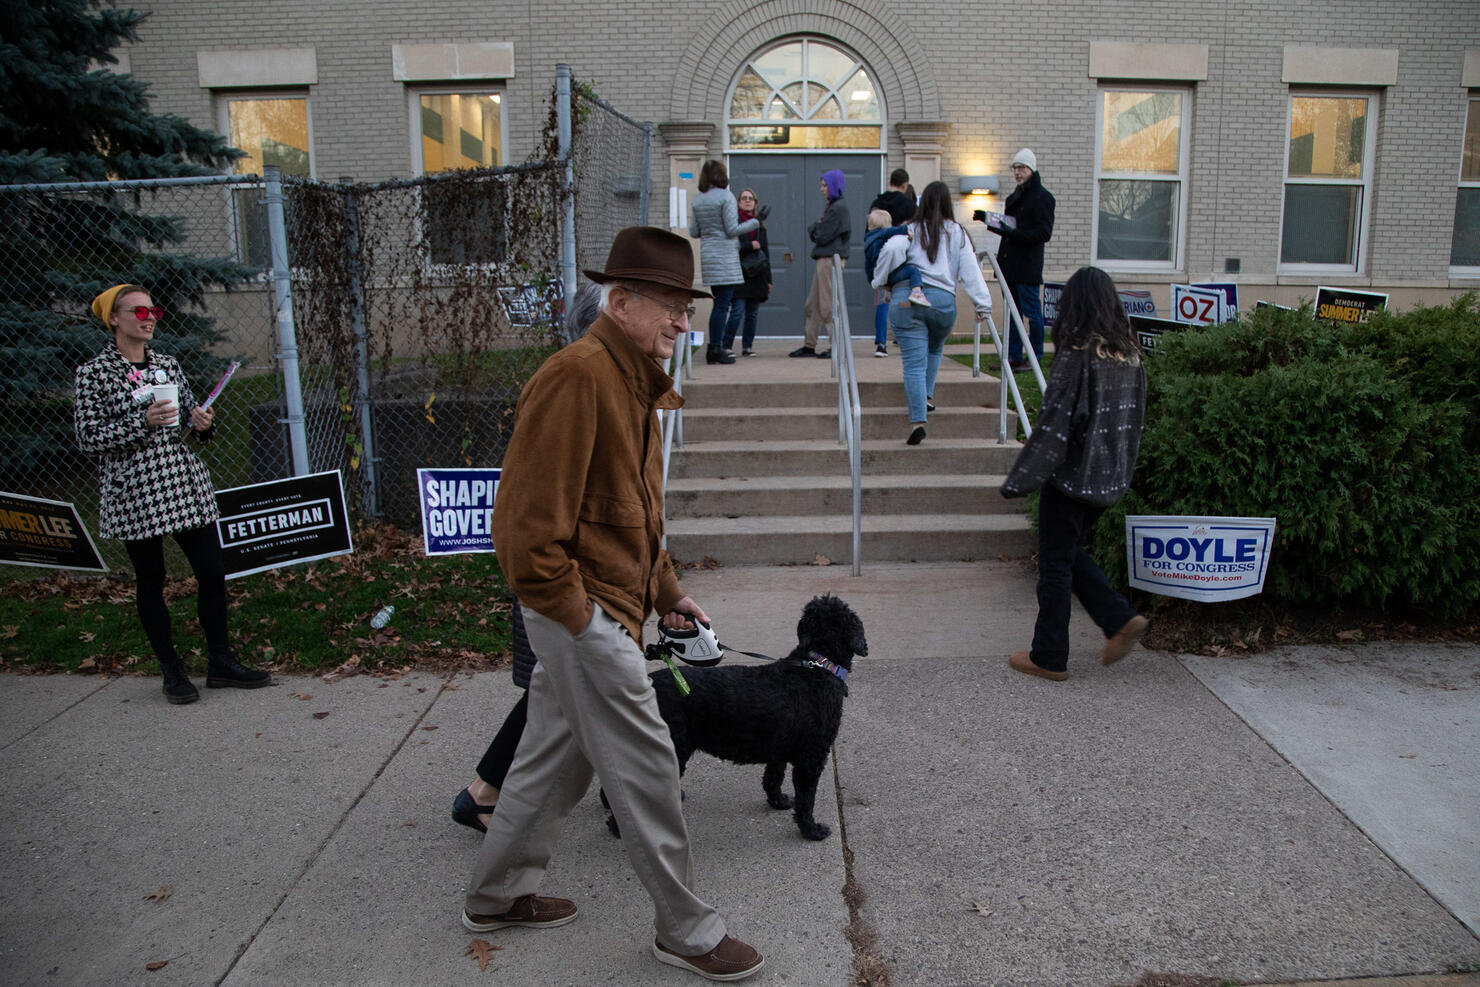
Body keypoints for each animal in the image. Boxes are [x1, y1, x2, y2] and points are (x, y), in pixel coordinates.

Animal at [606, 594, 864, 840]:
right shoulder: (811, 757)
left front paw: (778, 801)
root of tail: (648, 686)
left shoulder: (778, 751)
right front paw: (811, 830)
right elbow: (806, 800)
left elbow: (773, 778)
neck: (817, 665)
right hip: (671, 747)